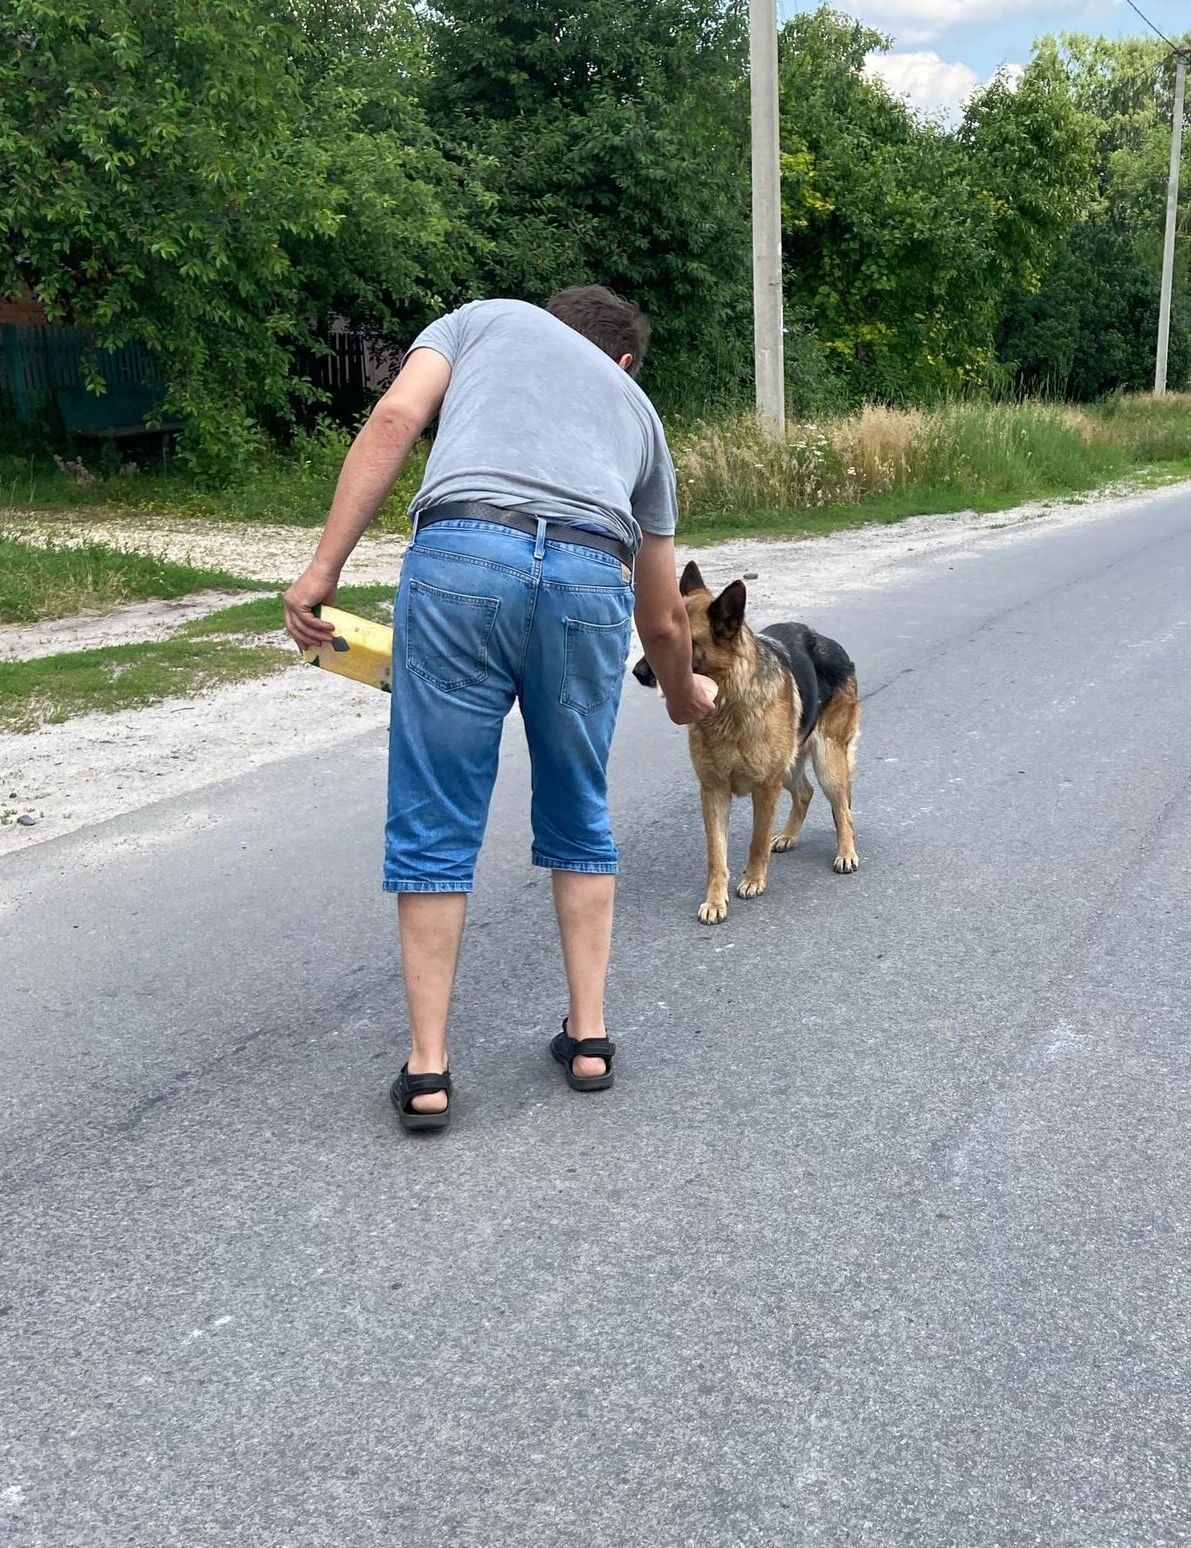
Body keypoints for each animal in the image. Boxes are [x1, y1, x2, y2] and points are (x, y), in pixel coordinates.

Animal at [631, 563, 854, 916]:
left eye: (679, 644)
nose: (637, 674)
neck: (728, 703)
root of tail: (829, 642)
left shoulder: (765, 788)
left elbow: (757, 840)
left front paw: (753, 881)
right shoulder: (713, 791)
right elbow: (715, 854)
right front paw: (714, 899)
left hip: (826, 762)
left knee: (842, 807)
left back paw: (846, 852)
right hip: (789, 767)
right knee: (804, 792)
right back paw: (789, 835)